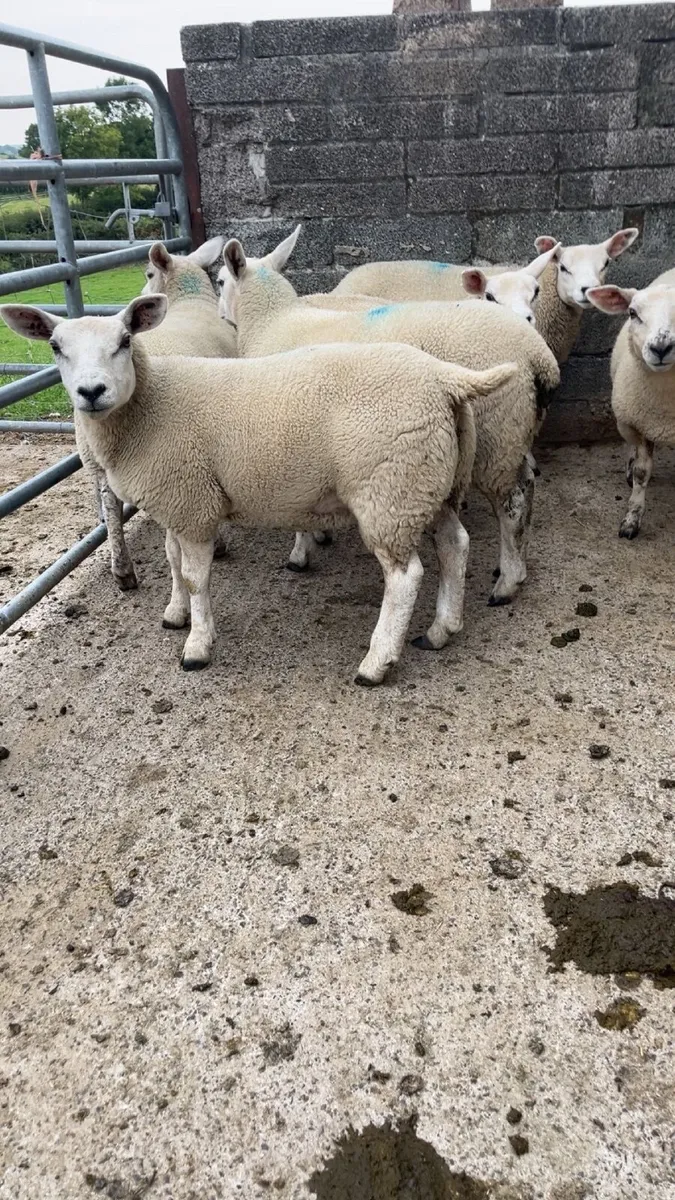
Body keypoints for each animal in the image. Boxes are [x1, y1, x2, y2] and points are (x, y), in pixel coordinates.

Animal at [0, 297, 516, 684]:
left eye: (125, 341)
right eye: (55, 346)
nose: (91, 392)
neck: (150, 406)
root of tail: (447, 379)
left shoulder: (192, 502)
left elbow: (196, 577)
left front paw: (197, 645)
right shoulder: (176, 501)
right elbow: (171, 561)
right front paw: (175, 613)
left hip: (388, 490)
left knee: (405, 576)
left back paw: (376, 663)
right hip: (428, 483)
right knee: (455, 545)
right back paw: (442, 629)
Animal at [79, 236, 234, 591]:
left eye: (148, 273)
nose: (138, 292)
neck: (189, 300)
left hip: (98, 458)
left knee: (110, 505)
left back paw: (122, 570)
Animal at [219, 237, 560, 608]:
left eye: (220, 281)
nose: (220, 315)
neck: (271, 321)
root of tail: (537, 353)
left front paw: (300, 553)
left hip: (496, 431)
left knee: (511, 504)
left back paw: (506, 583)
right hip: (514, 430)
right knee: (526, 485)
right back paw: (518, 566)